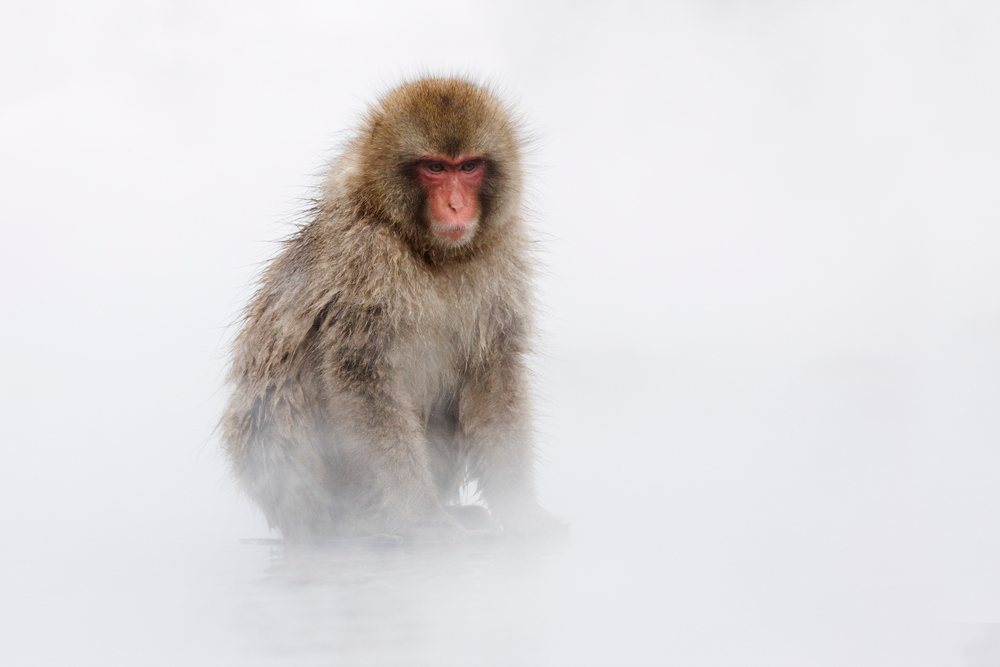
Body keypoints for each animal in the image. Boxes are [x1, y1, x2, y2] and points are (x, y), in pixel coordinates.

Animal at [221, 77, 560, 541]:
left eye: (468, 167)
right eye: (434, 168)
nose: (456, 206)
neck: (430, 253)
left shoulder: (500, 253)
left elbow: (491, 371)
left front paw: (520, 510)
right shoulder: (365, 257)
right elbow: (363, 376)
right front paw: (422, 518)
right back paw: (355, 522)